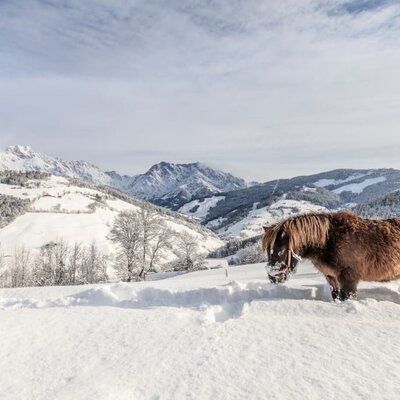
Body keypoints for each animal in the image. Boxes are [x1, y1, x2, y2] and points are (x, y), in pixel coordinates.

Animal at [260, 212, 400, 300]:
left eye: (281, 248)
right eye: (268, 250)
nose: (272, 276)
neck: (328, 241)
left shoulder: (349, 279)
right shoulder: (331, 277)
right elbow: (336, 296)